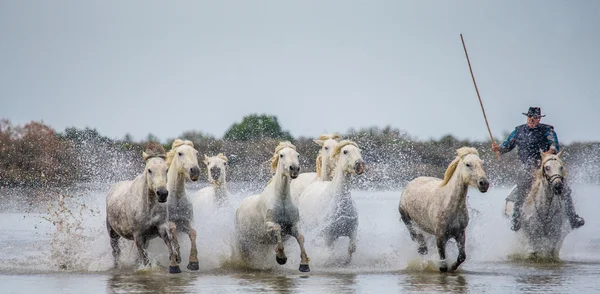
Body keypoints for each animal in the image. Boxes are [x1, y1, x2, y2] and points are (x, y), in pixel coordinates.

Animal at [105, 144, 182, 274]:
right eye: (149, 170)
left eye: (166, 169)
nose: (162, 194)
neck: (148, 207)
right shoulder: (138, 236)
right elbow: (145, 260)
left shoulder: (160, 228)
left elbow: (170, 241)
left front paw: (176, 262)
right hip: (113, 234)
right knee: (116, 253)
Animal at [166, 139, 202, 270]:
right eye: (180, 153)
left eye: (196, 153)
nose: (195, 171)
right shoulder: (167, 224)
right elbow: (173, 230)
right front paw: (176, 260)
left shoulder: (185, 223)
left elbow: (193, 233)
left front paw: (193, 262)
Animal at [234, 141, 310, 272]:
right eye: (281, 155)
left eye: (298, 155)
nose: (294, 169)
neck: (282, 200)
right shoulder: (269, 225)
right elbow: (278, 230)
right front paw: (281, 258)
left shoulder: (293, 224)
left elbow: (300, 237)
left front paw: (304, 264)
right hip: (243, 241)